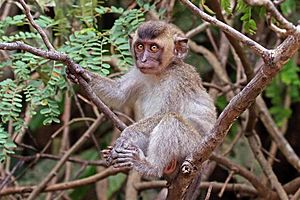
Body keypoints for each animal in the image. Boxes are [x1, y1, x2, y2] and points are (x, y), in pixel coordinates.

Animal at [67, 19, 217, 177]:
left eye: (153, 48)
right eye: (140, 46)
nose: (143, 60)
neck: (160, 73)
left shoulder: (178, 79)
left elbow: (164, 112)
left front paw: (125, 135)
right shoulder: (139, 73)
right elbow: (119, 93)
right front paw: (81, 73)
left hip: (192, 146)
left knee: (171, 119)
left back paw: (150, 166)